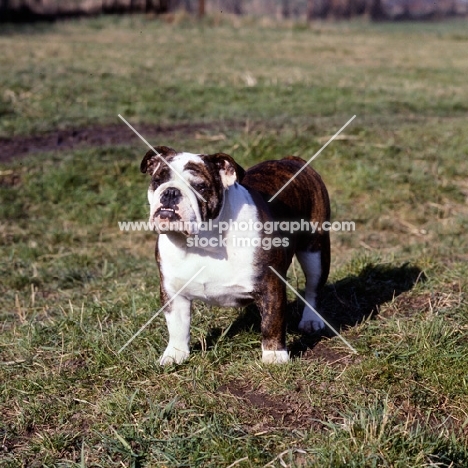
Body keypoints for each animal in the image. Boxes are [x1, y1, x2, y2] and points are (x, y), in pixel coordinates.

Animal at [141, 147, 330, 366]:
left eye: (200, 187)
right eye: (157, 181)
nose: (170, 192)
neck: (203, 242)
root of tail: (293, 160)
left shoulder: (270, 284)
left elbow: (272, 323)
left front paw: (274, 356)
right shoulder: (173, 291)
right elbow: (177, 326)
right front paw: (175, 354)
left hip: (315, 252)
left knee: (313, 289)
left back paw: (311, 320)